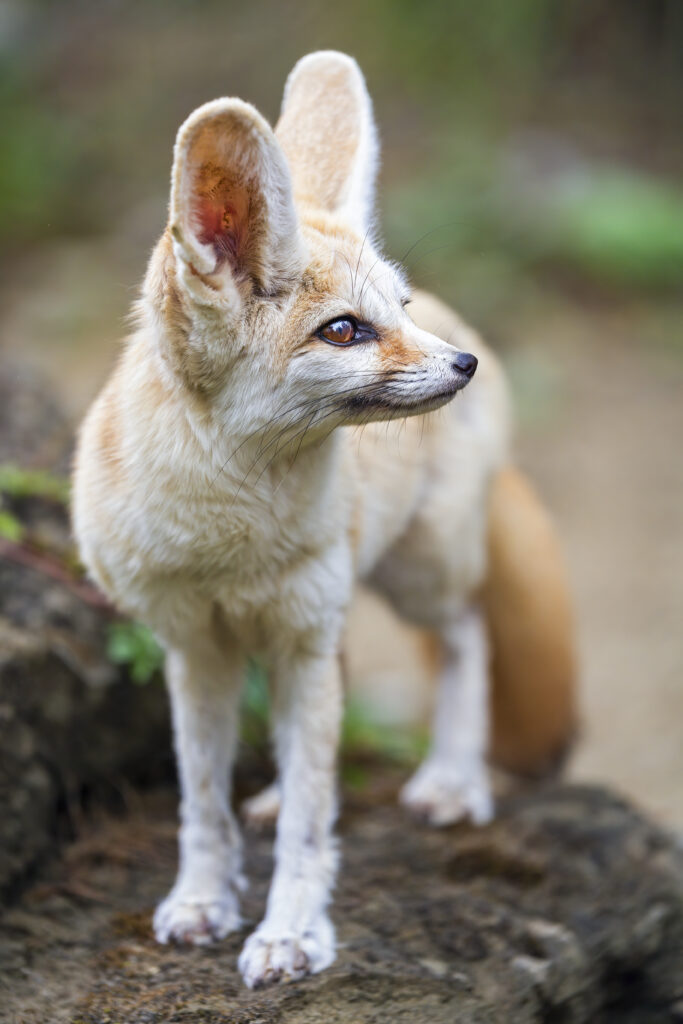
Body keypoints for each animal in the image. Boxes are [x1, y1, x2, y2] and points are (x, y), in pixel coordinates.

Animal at [72, 51, 576, 987]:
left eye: (394, 310)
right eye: (343, 331)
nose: (462, 366)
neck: (230, 536)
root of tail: (460, 314)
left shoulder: (297, 633)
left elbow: (312, 822)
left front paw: (291, 931)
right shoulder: (195, 649)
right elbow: (203, 800)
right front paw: (202, 898)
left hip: (415, 578)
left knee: (467, 634)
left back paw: (453, 780)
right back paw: (275, 793)